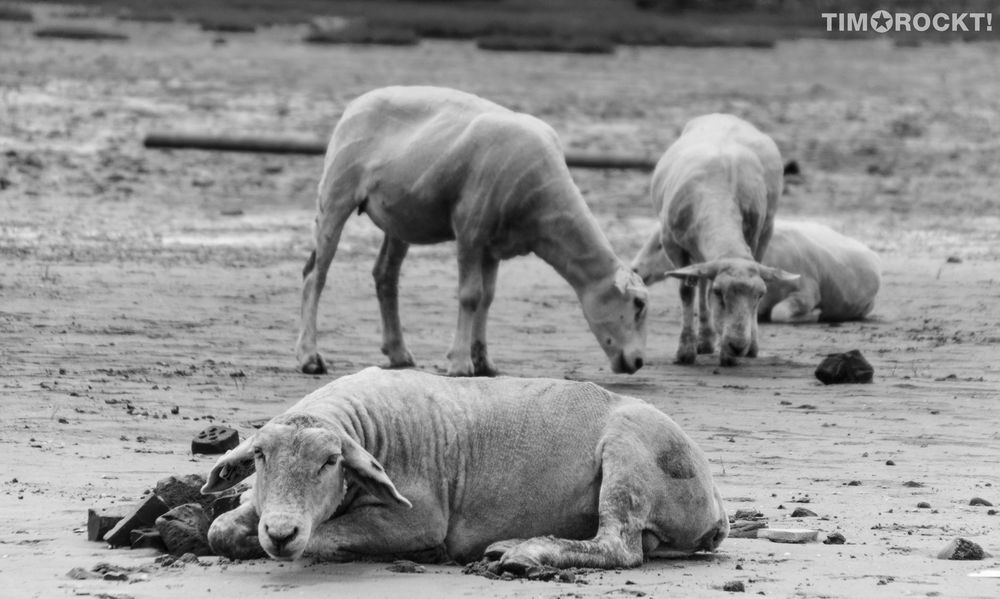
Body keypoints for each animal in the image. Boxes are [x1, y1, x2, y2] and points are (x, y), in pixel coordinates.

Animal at [203, 366, 732, 572]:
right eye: (259, 457)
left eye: (331, 461)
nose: (282, 532)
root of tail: (717, 506)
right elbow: (218, 529)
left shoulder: (420, 517)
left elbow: (323, 538)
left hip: (630, 453)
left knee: (619, 547)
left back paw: (526, 553)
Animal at [292, 86, 648, 378]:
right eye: (638, 304)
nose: (639, 362)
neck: (543, 210)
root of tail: (356, 103)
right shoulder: (470, 228)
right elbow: (470, 295)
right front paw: (461, 363)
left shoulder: (494, 244)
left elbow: (487, 299)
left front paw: (484, 362)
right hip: (336, 191)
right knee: (315, 275)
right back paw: (310, 357)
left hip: (400, 216)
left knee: (384, 276)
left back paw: (399, 353)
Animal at [632, 112, 796, 366]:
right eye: (719, 293)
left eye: (760, 295)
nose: (738, 346)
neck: (718, 195)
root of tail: (724, 115)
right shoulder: (673, 245)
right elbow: (687, 290)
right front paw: (685, 351)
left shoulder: (752, 236)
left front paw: (730, 353)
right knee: (700, 281)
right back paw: (705, 340)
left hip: (766, 228)